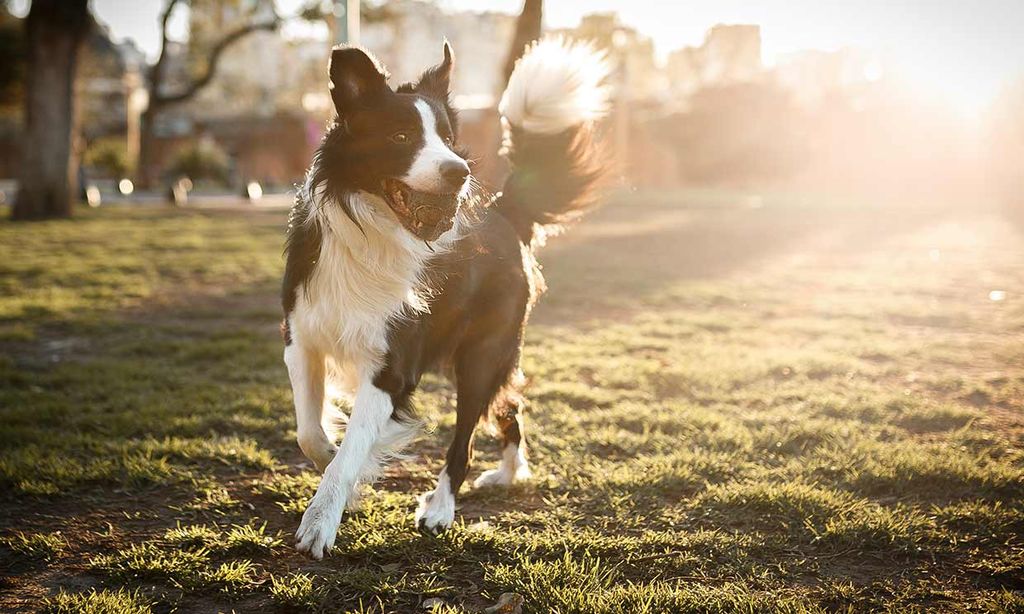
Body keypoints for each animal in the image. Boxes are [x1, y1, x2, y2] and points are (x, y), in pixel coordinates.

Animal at [280, 36, 606, 560]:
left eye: (449, 139)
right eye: (400, 136)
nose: (460, 171)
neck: (374, 233)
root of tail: (505, 213)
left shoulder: (392, 369)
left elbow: (349, 450)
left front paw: (323, 516)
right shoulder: (302, 339)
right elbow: (311, 435)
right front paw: (344, 474)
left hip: (482, 353)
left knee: (466, 440)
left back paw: (441, 509)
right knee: (510, 407)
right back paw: (510, 473)